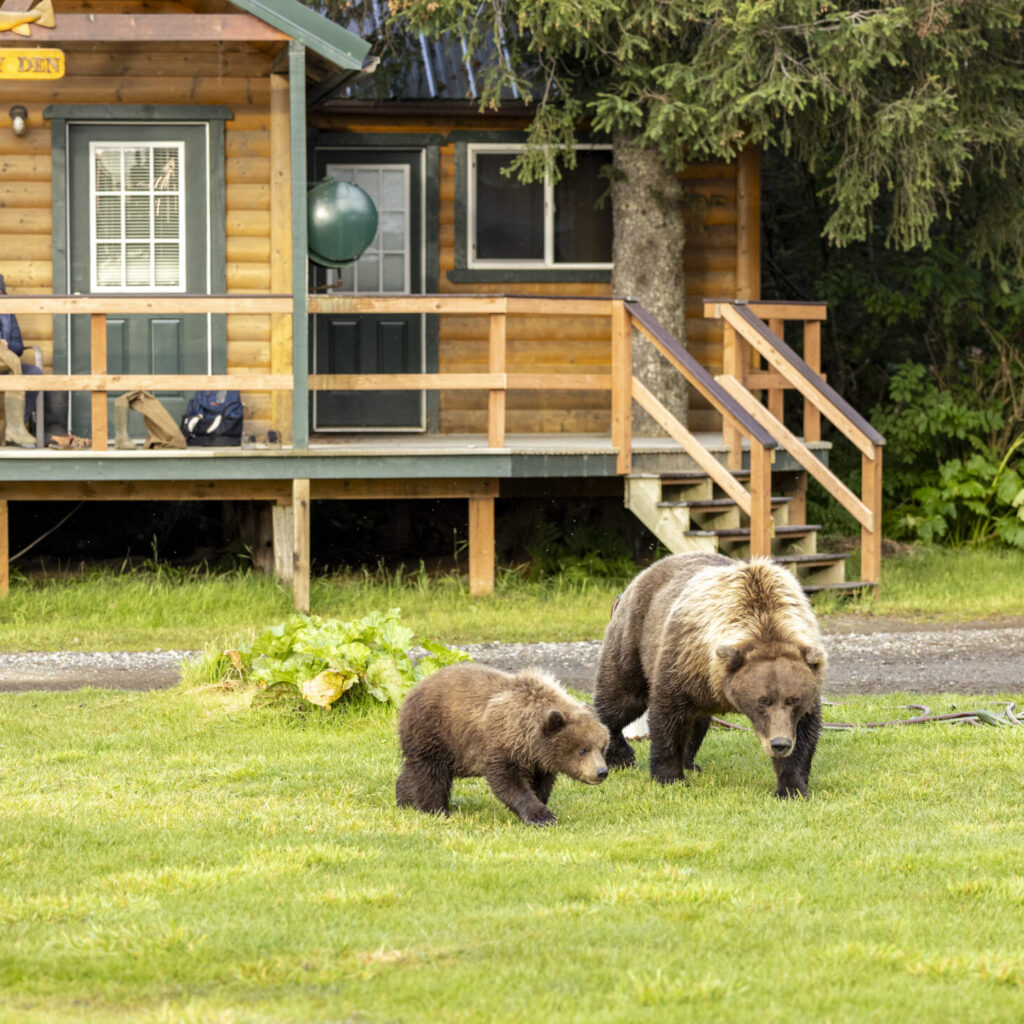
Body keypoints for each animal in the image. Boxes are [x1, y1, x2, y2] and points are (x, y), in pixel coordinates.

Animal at [397, 663, 606, 823]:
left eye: (602, 747)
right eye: (583, 749)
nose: (601, 772)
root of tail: (411, 691)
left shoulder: (539, 761)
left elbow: (541, 784)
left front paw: (541, 804)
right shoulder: (502, 745)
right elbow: (508, 782)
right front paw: (542, 817)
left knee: (413, 772)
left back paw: (405, 801)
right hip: (435, 732)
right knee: (431, 774)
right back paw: (436, 809)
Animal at [598, 552, 827, 798]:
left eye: (794, 700)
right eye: (762, 701)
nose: (780, 743)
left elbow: (804, 733)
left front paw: (792, 787)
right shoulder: (683, 660)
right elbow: (668, 717)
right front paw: (670, 777)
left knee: (696, 722)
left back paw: (690, 762)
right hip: (634, 635)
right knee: (622, 697)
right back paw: (620, 755)